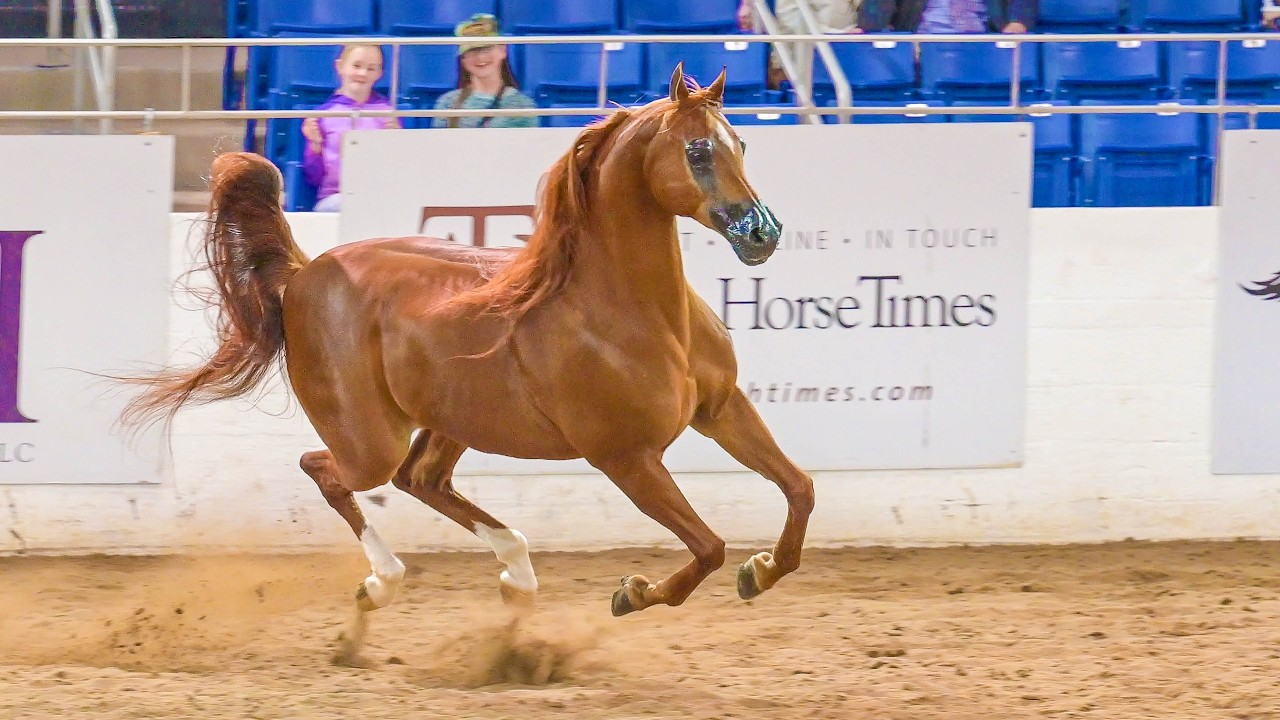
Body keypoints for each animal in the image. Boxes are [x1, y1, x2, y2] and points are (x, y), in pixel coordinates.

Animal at [121, 64, 815, 624]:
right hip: (369, 440)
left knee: (420, 479)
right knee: (329, 470)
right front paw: (634, 592)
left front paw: (760, 571)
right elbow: (708, 547)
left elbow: (799, 489)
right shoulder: (626, 458)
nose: (762, 232)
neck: (632, 311)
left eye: (741, 143)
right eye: (697, 150)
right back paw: (383, 583)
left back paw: (517, 576)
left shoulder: (720, 408)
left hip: (451, 418)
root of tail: (303, 274)